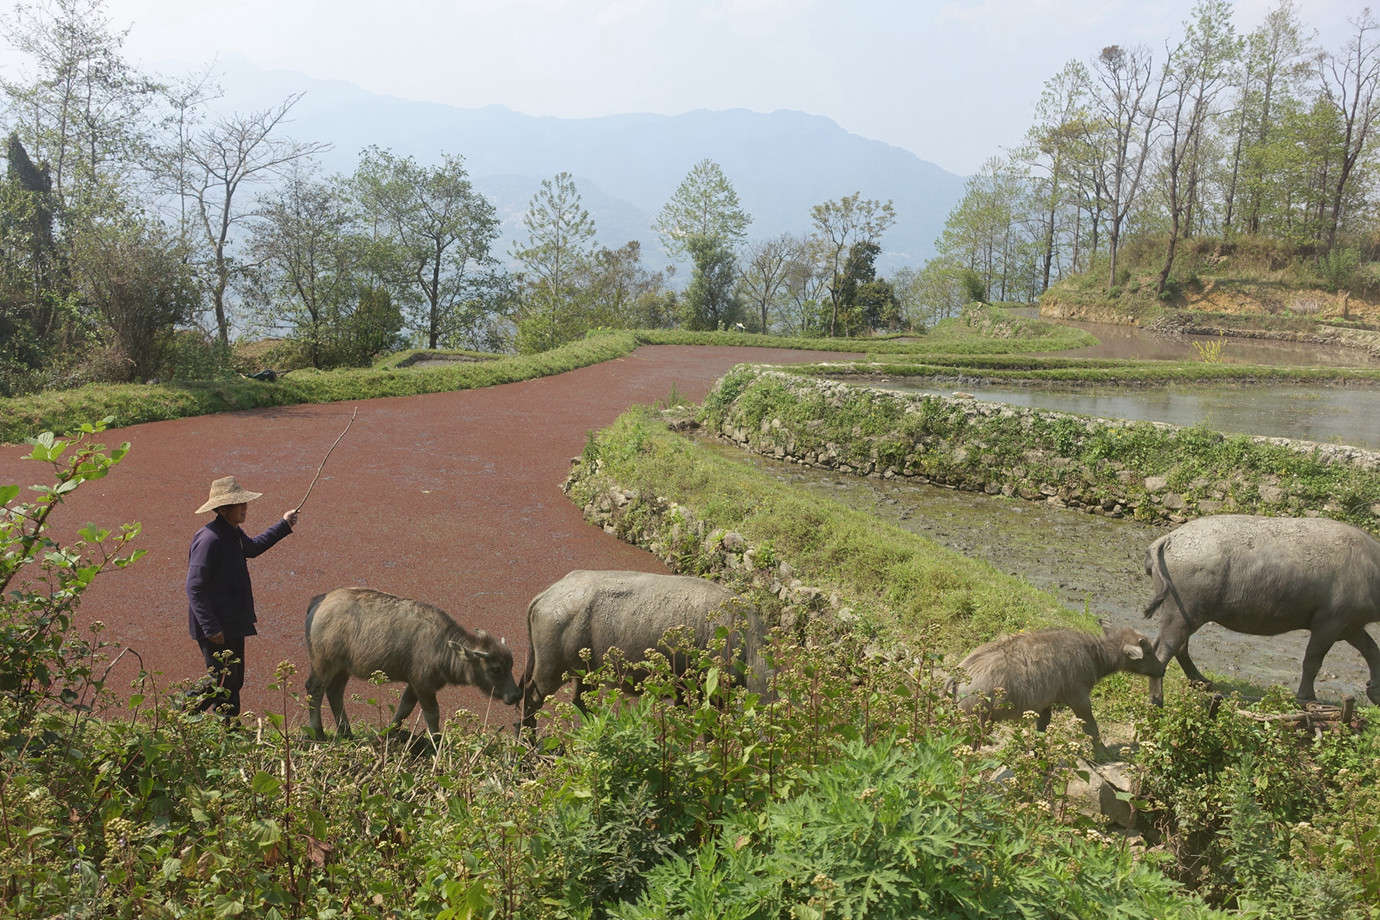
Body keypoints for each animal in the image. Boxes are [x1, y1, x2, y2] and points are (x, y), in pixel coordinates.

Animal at [307, 590, 521, 739]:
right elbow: (432, 714)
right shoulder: (423, 685)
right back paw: (319, 734)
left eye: (511, 665)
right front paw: (437, 741)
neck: (441, 644)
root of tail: (318, 602)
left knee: (334, 692)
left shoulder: (414, 683)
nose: (516, 695)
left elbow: (404, 708)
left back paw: (346, 732)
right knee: (314, 690)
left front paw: (387, 734)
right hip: (323, 664)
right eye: (495, 669)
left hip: (342, 670)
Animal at [949, 626, 1164, 750]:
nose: (1162, 669)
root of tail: (960, 672)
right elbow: (1091, 728)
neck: (1093, 654)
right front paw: (1102, 752)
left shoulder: (1045, 705)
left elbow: (1042, 729)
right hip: (977, 722)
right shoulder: (1079, 700)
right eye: (1148, 651)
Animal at [1142, 518, 1380, 706]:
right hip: (1183, 614)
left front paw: (1375, 691)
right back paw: (1157, 702)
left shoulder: (1350, 626)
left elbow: (1372, 650)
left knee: (1179, 648)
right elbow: (1312, 661)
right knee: (1164, 650)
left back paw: (1203, 682)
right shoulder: (1330, 623)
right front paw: (1308, 697)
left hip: (1184, 614)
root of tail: (1169, 539)